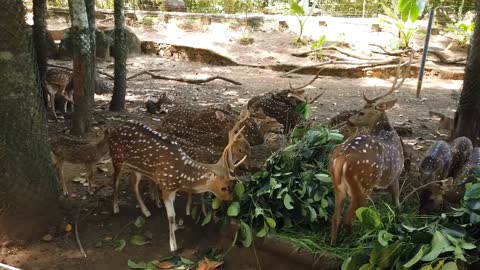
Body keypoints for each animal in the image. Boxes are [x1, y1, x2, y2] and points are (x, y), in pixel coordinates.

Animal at [107, 120, 246, 251]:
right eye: (224, 188)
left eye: (232, 185)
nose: (231, 199)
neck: (181, 177)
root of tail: (113, 128)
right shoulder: (166, 186)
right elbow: (171, 216)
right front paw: (173, 245)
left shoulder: (172, 189)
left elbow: (173, 212)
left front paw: (175, 228)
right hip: (116, 157)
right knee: (115, 180)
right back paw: (116, 208)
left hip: (137, 168)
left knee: (133, 184)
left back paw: (146, 211)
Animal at [330, 56, 412, 245]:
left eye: (361, 112)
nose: (349, 122)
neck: (388, 132)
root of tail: (341, 158)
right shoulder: (395, 175)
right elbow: (396, 201)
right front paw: (398, 217)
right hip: (363, 185)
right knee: (348, 219)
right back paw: (353, 242)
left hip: (338, 186)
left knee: (335, 218)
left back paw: (333, 244)